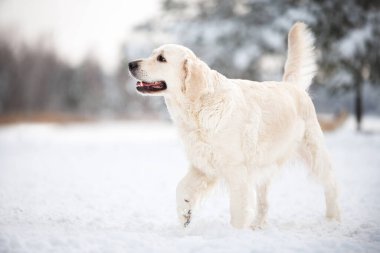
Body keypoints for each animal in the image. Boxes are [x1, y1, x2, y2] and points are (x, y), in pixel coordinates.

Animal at [128, 22, 342, 230]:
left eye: (161, 58)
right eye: (153, 54)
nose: (130, 64)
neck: (199, 109)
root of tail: (293, 86)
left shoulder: (237, 170)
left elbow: (238, 209)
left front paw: (236, 233)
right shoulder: (203, 165)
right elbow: (181, 188)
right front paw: (185, 214)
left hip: (313, 152)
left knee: (331, 183)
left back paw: (333, 218)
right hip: (264, 164)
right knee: (264, 201)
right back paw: (257, 225)